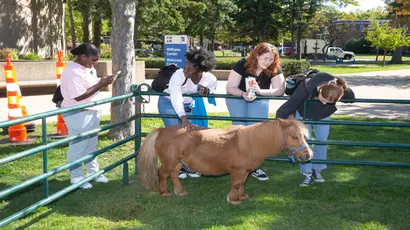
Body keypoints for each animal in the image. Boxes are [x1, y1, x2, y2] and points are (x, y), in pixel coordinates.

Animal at [136, 115, 312, 205]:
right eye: (294, 136)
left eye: (303, 135)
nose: (308, 155)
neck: (250, 143)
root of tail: (161, 130)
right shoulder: (238, 170)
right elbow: (236, 184)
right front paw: (233, 199)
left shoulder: (245, 171)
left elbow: (242, 183)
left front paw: (242, 196)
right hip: (169, 162)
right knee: (162, 174)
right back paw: (164, 192)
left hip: (178, 163)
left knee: (173, 175)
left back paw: (180, 191)